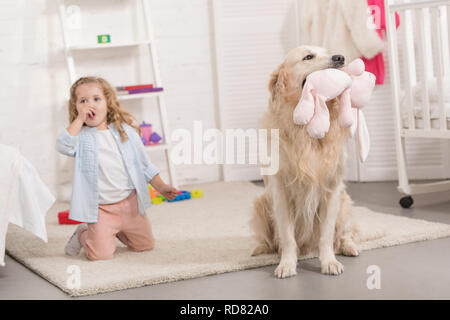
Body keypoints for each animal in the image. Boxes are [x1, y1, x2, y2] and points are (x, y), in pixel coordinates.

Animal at [251, 45, 360, 278]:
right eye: (308, 57)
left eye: (327, 51)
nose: (340, 57)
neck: (306, 129)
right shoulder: (281, 192)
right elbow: (287, 237)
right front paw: (287, 264)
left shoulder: (331, 190)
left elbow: (327, 235)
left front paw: (329, 262)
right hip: (260, 202)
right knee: (268, 241)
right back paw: (260, 249)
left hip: (344, 202)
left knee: (344, 235)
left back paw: (349, 247)